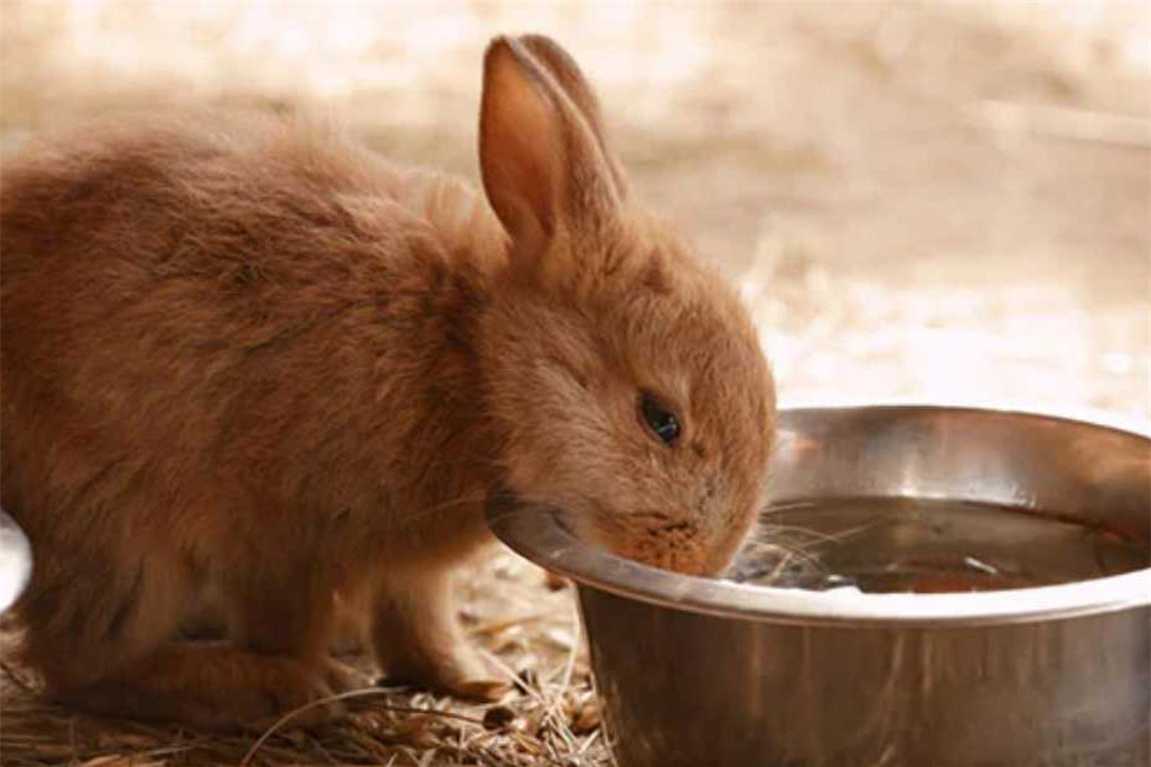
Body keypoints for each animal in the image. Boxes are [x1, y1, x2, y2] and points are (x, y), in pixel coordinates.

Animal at [0, 34, 778, 723]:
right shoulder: (284, 535)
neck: (474, 357)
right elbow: (289, 622)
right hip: (122, 527)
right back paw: (257, 691)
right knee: (81, 658)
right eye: (660, 419)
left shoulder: (406, 568)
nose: (701, 561)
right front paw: (305, 683)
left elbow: (417, 616)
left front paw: (476, 678)